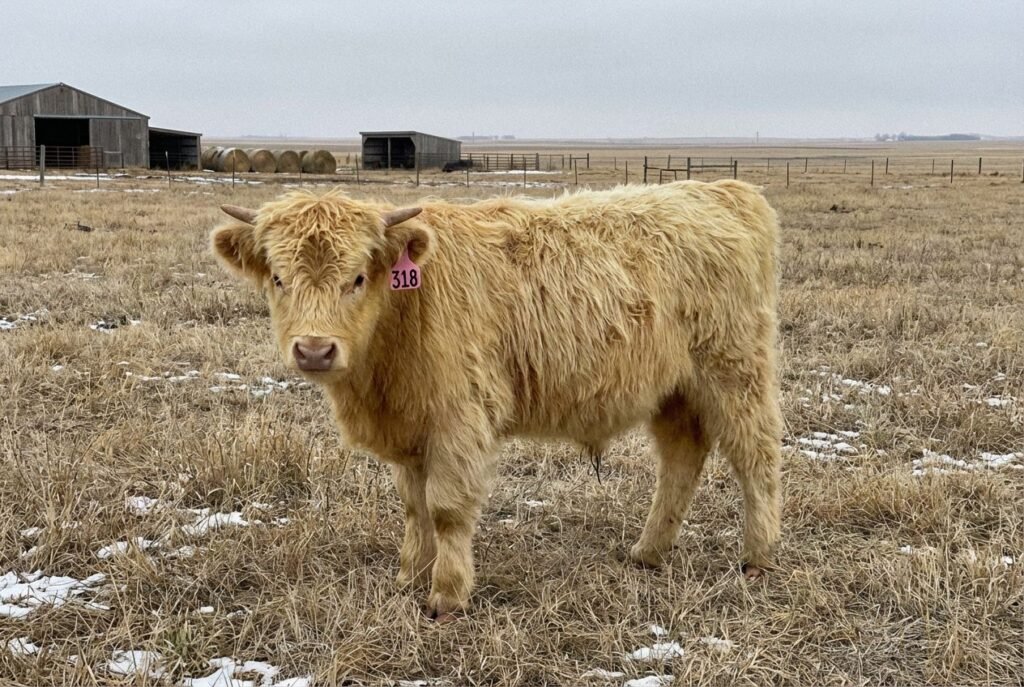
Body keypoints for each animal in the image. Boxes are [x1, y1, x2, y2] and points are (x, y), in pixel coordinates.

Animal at [210, 180, 782, 620]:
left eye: (356, 278)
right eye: (278, 278)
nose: (314, 348)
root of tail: (720, 190)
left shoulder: (458, 420)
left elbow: (445, 509)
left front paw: (446, 595)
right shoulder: (412, 427)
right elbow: (413, 506)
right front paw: (409, 576)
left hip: (735, 371)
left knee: (756, 457)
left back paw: (758, 557)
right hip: (674, 391)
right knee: (681, 459)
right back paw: (648, 551)